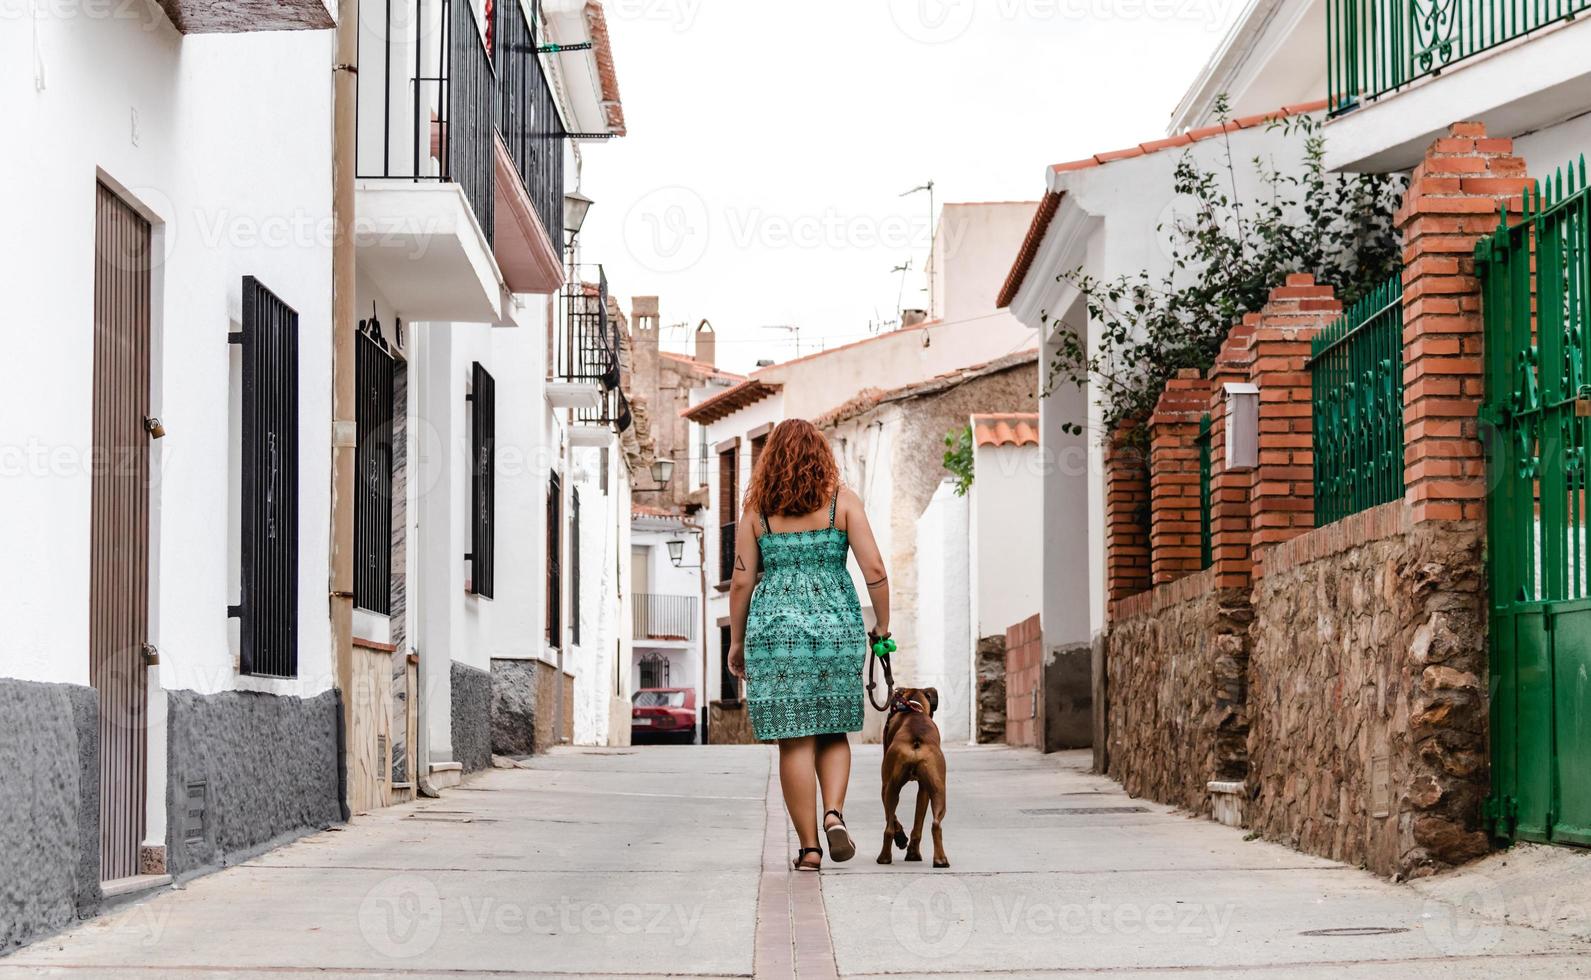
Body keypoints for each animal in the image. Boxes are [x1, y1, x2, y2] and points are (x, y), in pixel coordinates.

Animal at [878, 690, 948, 865]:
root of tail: (916, 739)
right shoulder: (923, 791)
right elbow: (916, 824)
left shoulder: (885, 787)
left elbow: (893, 817)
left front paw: (902, 839)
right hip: (938, 791)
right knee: (936, 824)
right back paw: (939, 859)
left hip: (891, 788)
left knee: (889, 828)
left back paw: (885, 857)